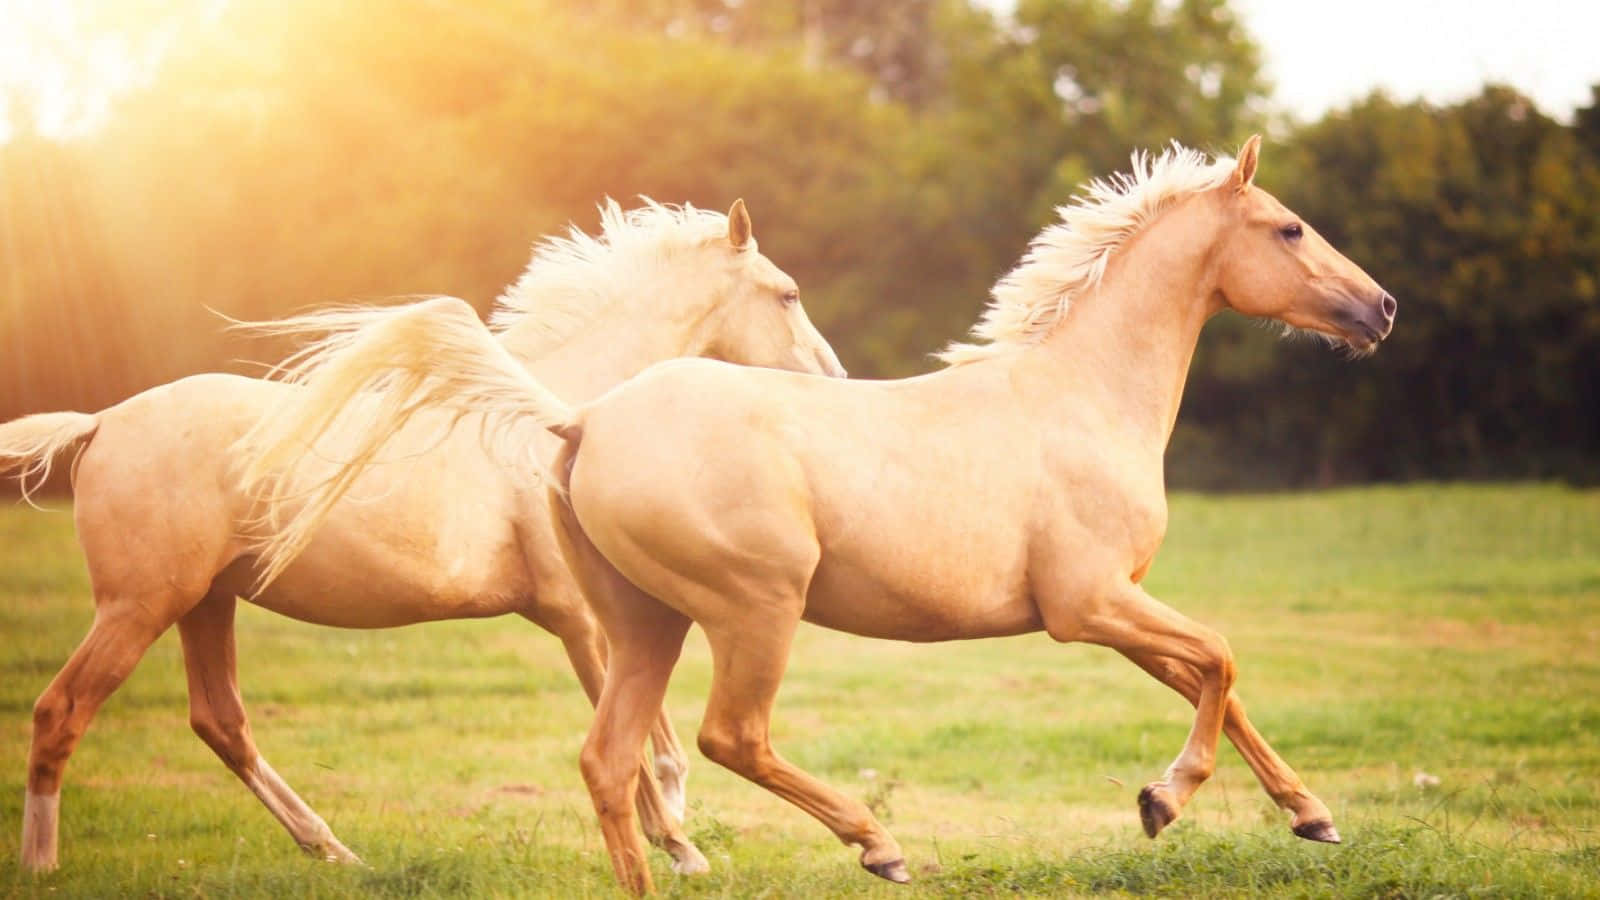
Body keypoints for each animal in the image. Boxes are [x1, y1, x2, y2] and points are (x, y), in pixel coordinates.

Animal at [0, 199, 845, 875]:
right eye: (787, 293)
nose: (834, 381)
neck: (561, 420)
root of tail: (100, 423)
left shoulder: (611, 623)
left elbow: (650, 742)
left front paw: (677, 844)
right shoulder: (584, 622)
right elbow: (634, 746)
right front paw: (682, 849)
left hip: (205, 603)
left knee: (221, 723)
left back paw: (333, 850)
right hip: (138, 606)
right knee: (60, 711)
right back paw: (42, 865)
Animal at [240, 137, 1397, 893]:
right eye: (1288, 227)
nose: (1380, 308)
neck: (1079, 394)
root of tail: (581, 420)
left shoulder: (1116, 608)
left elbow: (1215, 682)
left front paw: (1312, 817)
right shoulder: (1086, 606)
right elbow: (1223, 662)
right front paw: (1164, 801)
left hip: (641, 623)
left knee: (611, 762)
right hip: (756, 606)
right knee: (727, 737)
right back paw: (876, 842)